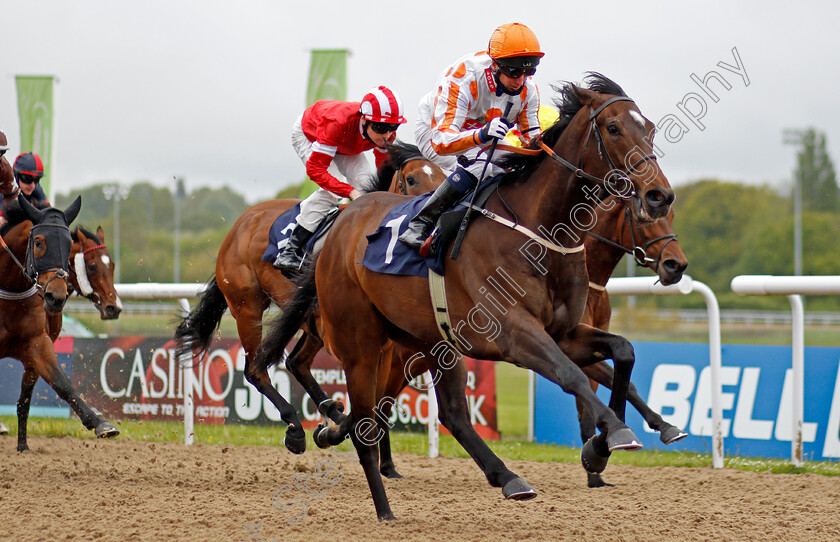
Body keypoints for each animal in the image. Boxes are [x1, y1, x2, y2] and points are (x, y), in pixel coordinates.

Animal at [0, 198, 120, 452]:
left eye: (112, 265)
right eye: (38, 242)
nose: (114, 307)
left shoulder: (36, 344)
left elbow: (61, 383)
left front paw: (100, 423)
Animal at [174, 141, 442, 454]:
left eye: (442, 175)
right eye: (411, 179)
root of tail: (241, 223)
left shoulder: (381, 344)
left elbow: (375, 400)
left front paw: (336, 424)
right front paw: (334, 429)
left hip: (304, 319)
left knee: (295, 362)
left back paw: (330, 411)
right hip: (248, 308)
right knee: (256, 368)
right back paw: (295, 426)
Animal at [260, 74, 676, 520]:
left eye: (650, 128)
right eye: (613, 128)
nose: (659, 195)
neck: (539, 230)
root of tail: (341, 221)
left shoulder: (562, 331)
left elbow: (623, 352)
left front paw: (598, 449)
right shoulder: (513, 334)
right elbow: (573, 375)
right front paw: (614, 434)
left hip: (431, 341)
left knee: (451, 414)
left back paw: (507, 478)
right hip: (361, 344)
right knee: (363, 422)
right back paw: (382, 507)